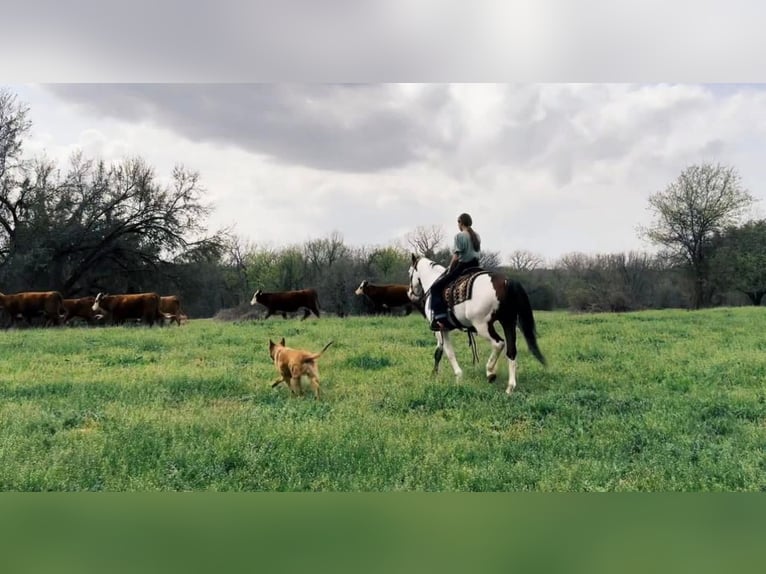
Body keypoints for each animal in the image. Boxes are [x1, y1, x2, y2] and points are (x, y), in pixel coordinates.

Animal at [408, 256, 544, 396]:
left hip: (482, 326)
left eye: (409, 273)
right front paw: (436, 374)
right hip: (508, 323)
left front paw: (456, 376)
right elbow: (440, 352)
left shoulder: (440, 330)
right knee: (511, 351)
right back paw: (509, 387)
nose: (410, 293)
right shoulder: (442, 330)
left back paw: (490, 372)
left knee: (499, 343)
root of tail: (507, 282)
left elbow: (446, 352)